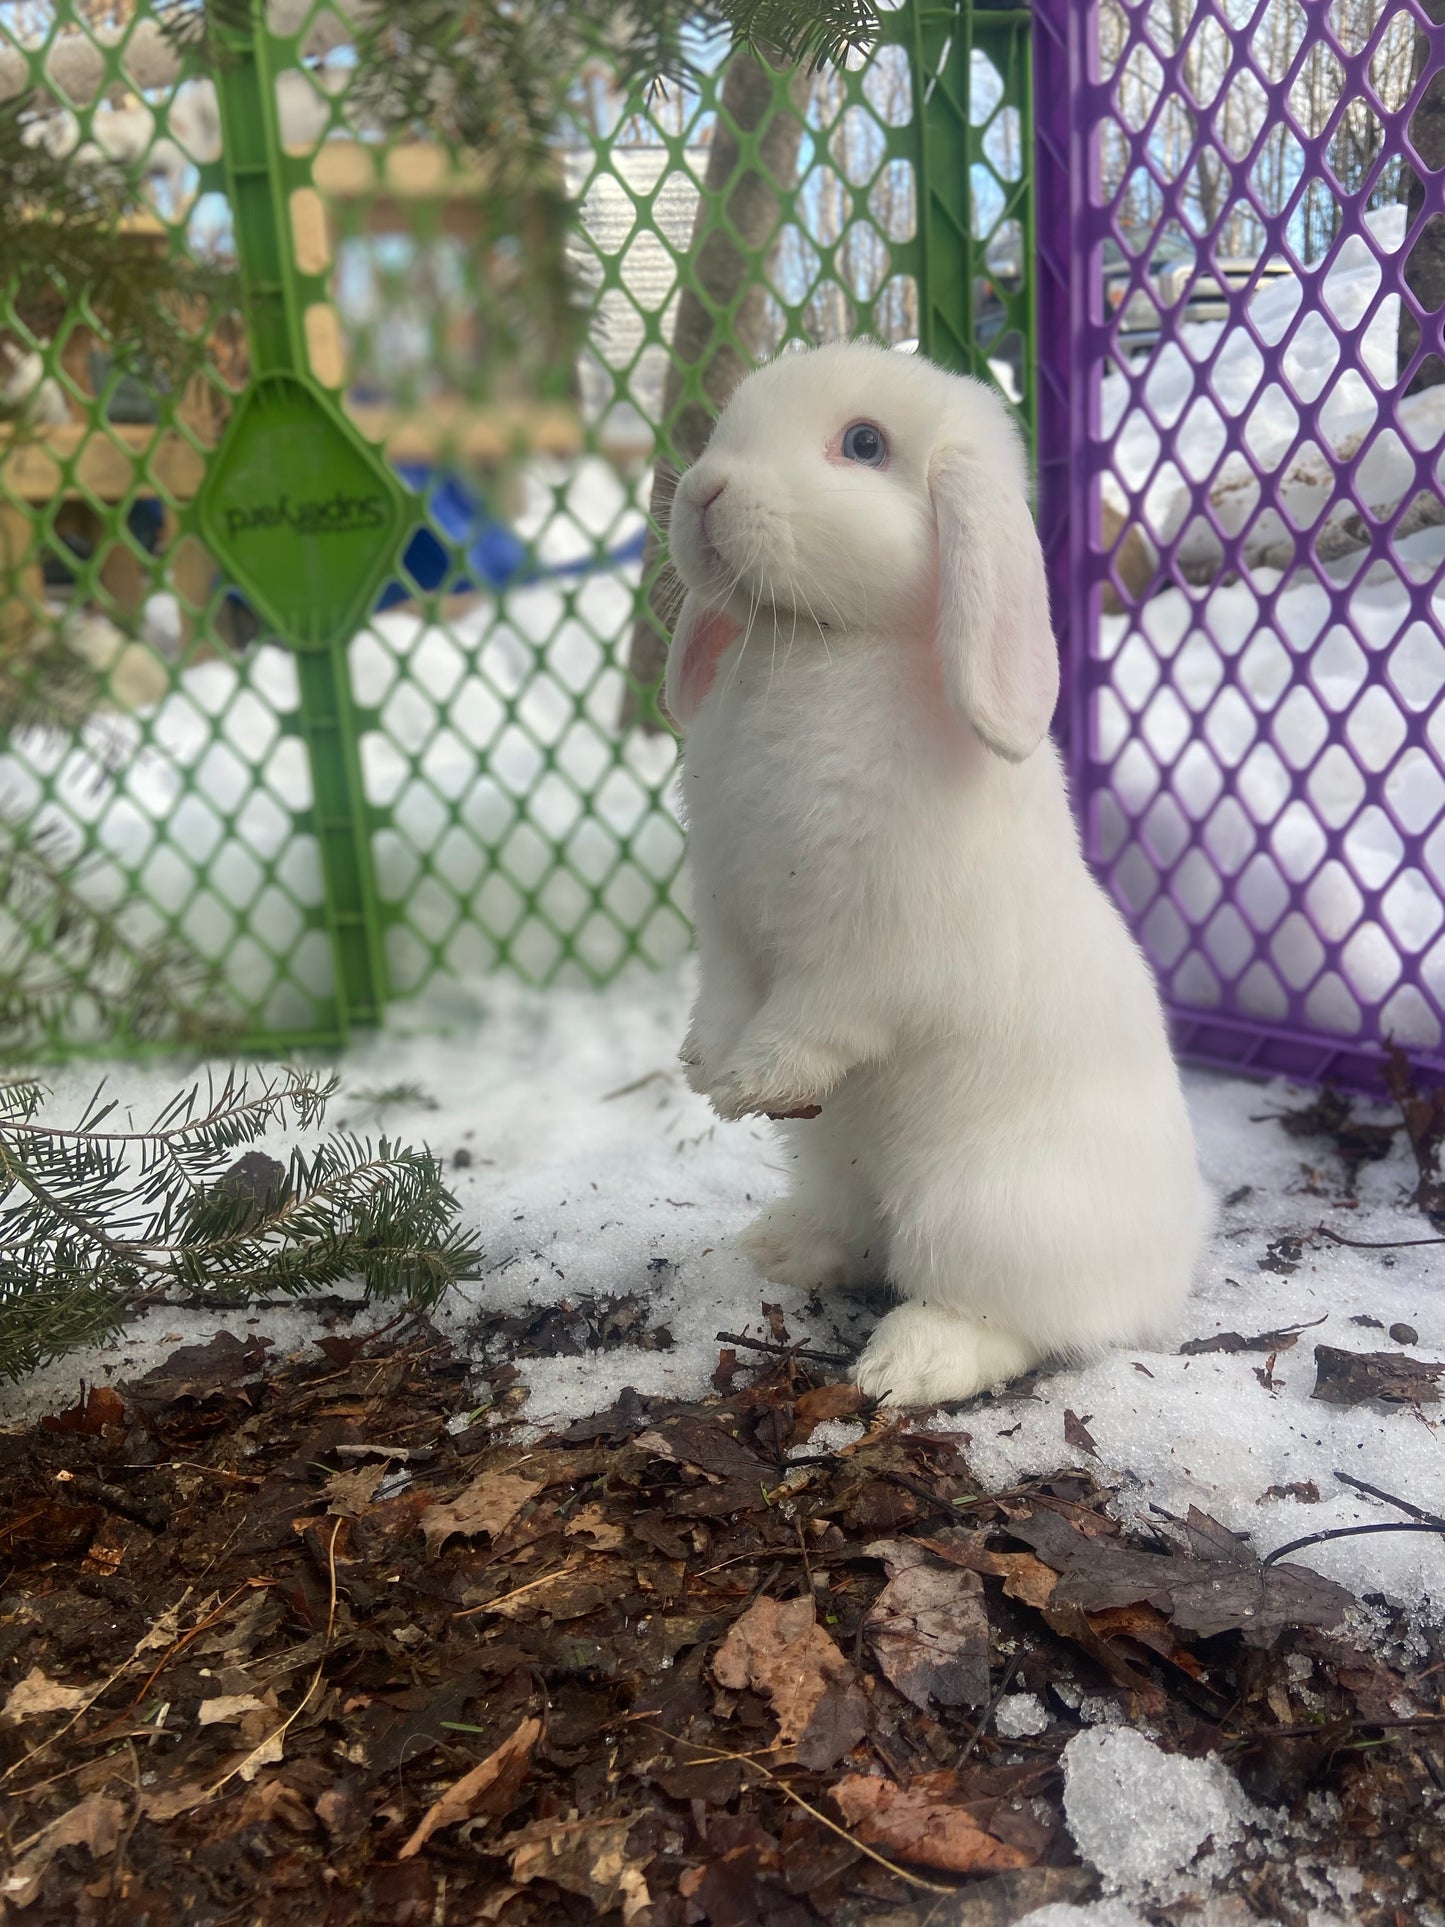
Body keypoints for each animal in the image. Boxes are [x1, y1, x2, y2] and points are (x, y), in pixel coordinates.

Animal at [664, 338, 1209, 1408]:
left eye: (864, 445)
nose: (705, 489)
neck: (821, 648)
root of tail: (1170, 1269)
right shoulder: (725, 915)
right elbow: (726, 989)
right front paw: (701, 1065)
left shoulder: (870, 951)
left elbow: (818, 1014)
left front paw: (749, 1081)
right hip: (834, 1160)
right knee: (859, 1235)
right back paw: (778, 1243)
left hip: (978, 1212)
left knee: (1010, 1321)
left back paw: (906, 1363)